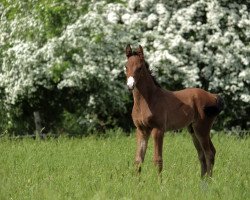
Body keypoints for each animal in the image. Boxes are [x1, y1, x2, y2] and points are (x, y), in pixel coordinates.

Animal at [124, 44, 224, 177]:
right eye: (126, 66)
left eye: (139, 68)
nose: (130, 85)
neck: (149, 100)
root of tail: (213, 96)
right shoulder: (141, 130)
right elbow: (138, 160)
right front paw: (137, 182)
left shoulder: (158, 129)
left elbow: (158, 160)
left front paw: (159, 182)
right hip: (192, 130)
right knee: (203, 154)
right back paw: (202, 180)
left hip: (202, 128)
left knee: (209, 154)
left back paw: (209, 181)